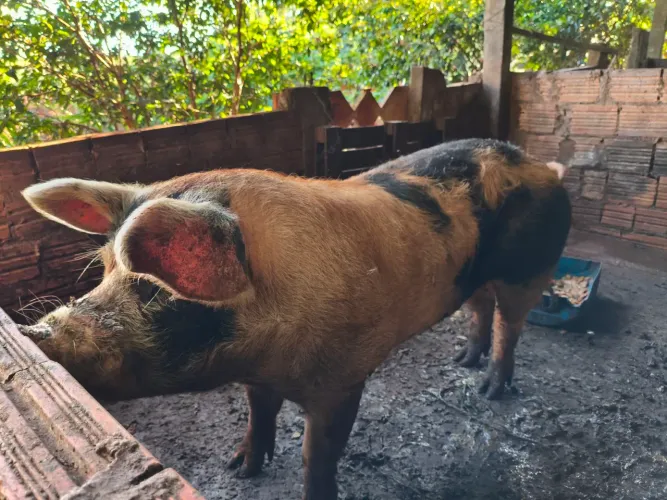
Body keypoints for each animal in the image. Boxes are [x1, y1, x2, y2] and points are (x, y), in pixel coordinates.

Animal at [19, 138, 571, 500]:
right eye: (104, 269)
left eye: (155, 289)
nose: (38, 332)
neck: (269, 351)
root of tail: (543, 166)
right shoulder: (258, 376)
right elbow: (258, 412)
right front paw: (240, 468)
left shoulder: (343, 379)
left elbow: (318, 454)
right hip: (475, 276)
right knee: (480, 307)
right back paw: (463, 361)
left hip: (531, 270)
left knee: (510, 326)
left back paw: (490, 389)